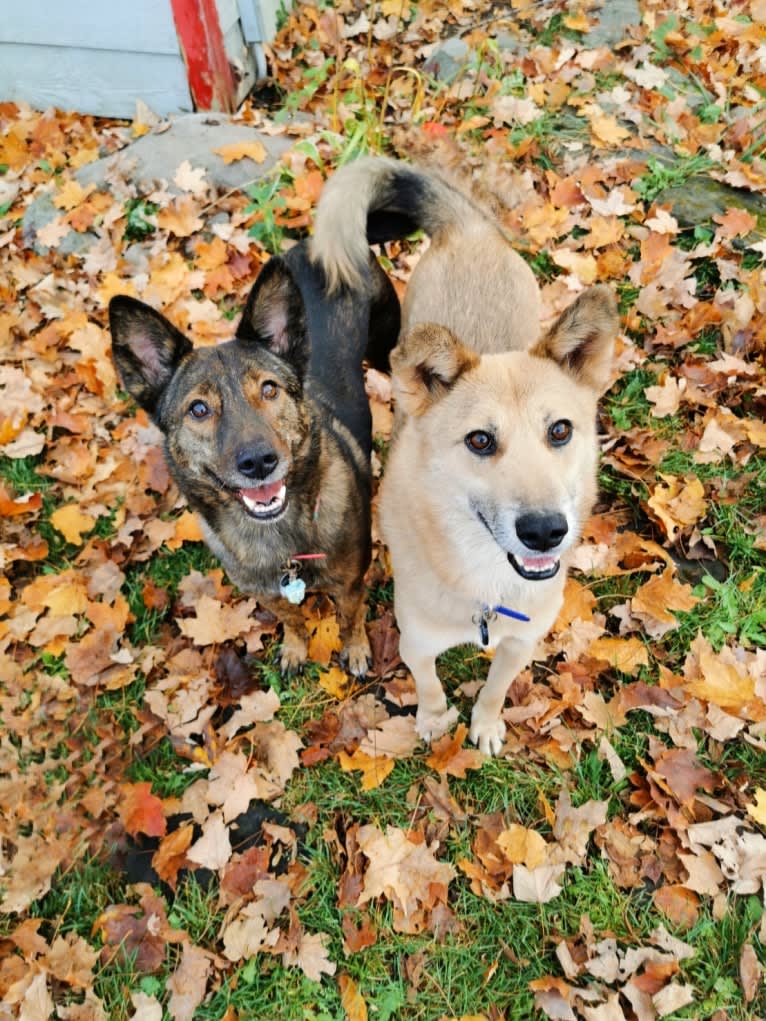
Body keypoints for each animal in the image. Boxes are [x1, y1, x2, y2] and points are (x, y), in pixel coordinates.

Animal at [112, 245, 402, 677]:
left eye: (269, 389)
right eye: (198, 409)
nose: (258, 462)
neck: (281, 546)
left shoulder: (350, 584)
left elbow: (351, 619)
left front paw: (355, 650)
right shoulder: (268, 594)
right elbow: (292, 620)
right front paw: (296, 648)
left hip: (386, 345)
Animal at [312, 157, 616, 751]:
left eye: (561, 431)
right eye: (480, 440)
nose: (545, 531)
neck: (487, 585)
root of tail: (470, 229)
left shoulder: (520, 644)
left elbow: (495, 689)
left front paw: (487, 725)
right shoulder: (417, 642)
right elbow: (429, 686)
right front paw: (433, 722)